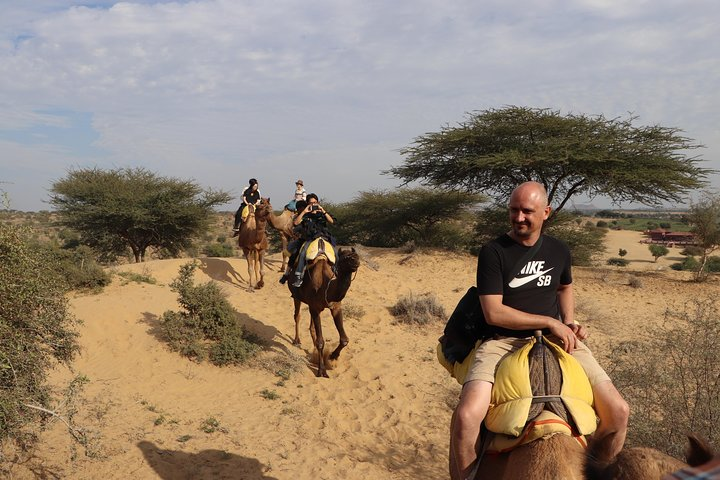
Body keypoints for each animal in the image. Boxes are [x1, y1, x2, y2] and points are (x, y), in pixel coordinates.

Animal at [288, 246, 360, 376]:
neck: (326, 287)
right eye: (345, 257)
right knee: (297, 315)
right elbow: (321, 341)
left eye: (355, 255)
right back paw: (297, 340)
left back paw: (313, 351)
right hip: (297, 296)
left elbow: (344, 339)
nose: (356, 260)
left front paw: (333, 356)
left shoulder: (335, 307)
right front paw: (321, 370)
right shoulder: (315, 308)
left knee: (311, 326)